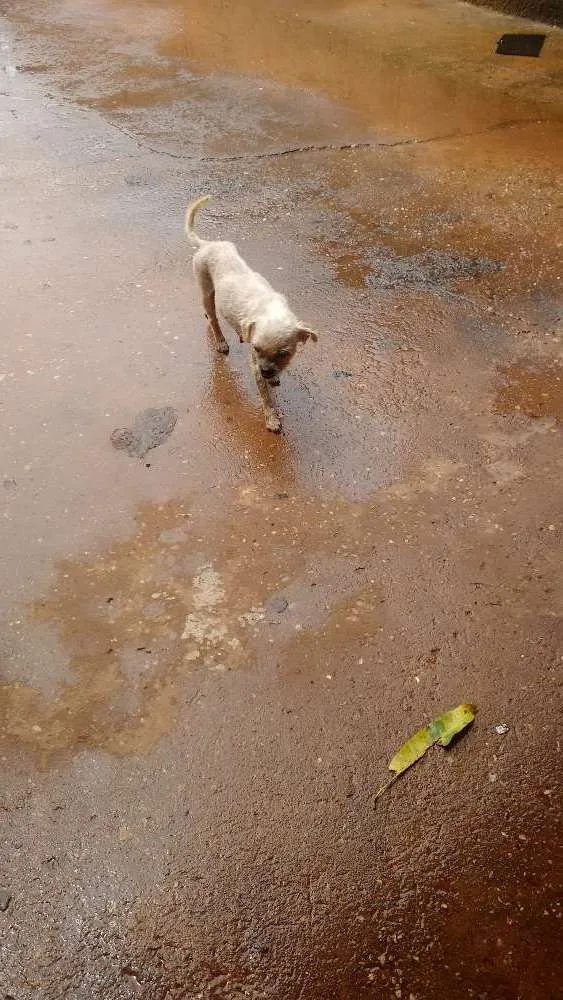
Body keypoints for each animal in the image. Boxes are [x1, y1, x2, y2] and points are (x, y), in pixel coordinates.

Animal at [185, 193, 318, 432]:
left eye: (284, 353)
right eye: (256, 349)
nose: (266, 372)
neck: (271, 309)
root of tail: (207, 244)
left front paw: (273, 379)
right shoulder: (255, 366)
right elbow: (266, 397)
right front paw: (272, 418)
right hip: (206, 289)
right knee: (214, 318)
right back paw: (220, 341)